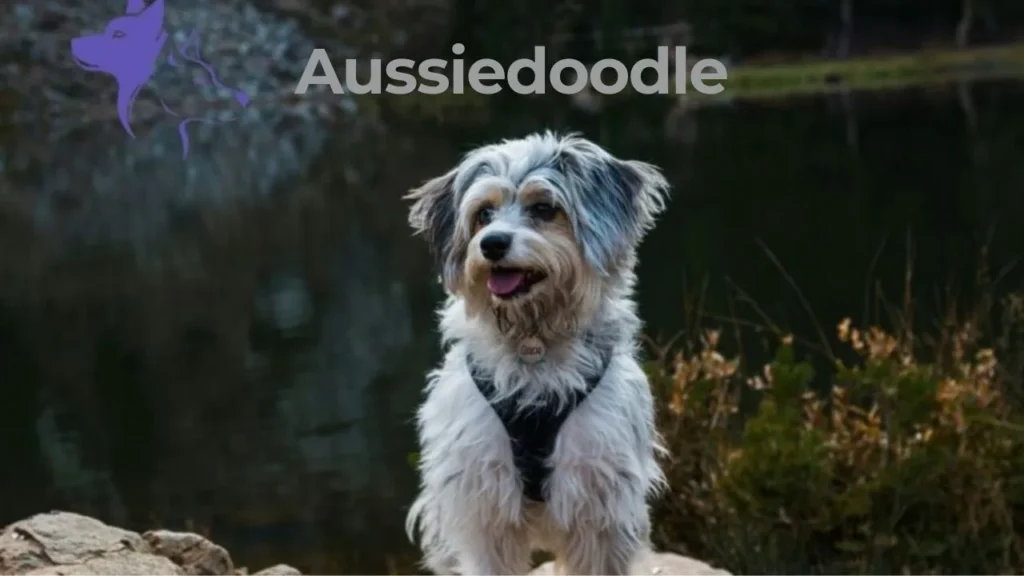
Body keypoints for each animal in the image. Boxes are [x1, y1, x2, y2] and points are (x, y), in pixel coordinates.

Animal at [403, 132, 675, 569]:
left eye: (544, 208)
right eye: (483, 214)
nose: (492, 243)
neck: (533, 343)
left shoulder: (601, 506)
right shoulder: (483, 507)